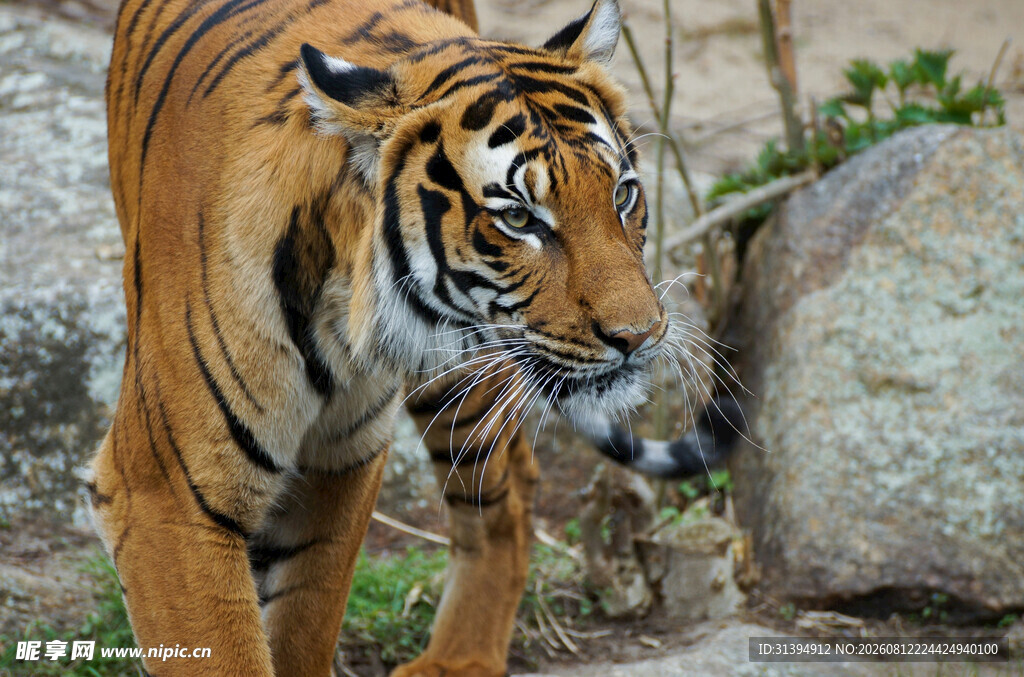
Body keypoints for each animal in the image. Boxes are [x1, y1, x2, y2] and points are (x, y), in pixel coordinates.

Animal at [86, 0, 740, 674]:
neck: (336, 321)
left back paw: (458, 660)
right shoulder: (168, 496)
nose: (641, 336)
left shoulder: (339, 464)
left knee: (504, 499)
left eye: (623, 194)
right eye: (519, 218)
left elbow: (304, 625)